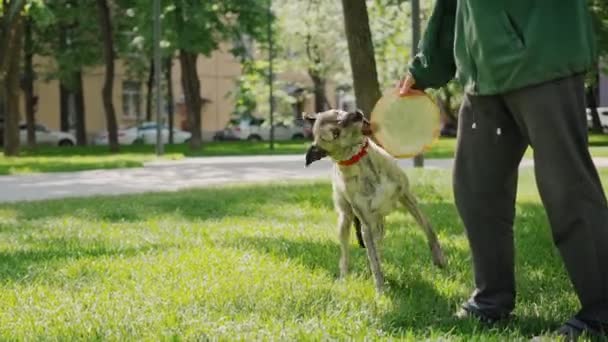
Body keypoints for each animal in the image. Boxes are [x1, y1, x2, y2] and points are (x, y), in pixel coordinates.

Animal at [304, 109, 446, 292]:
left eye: (337, 112)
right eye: (335, 133)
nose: (356, 114)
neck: (361, 161)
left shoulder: (406, 196)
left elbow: (428, 228)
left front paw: (439, 258)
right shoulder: (366, 224)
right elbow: (374, 261)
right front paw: (380, 288)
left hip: (379, 225)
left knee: (376, 249)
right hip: (345, 220)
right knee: (346, 255)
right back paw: (344, 279)